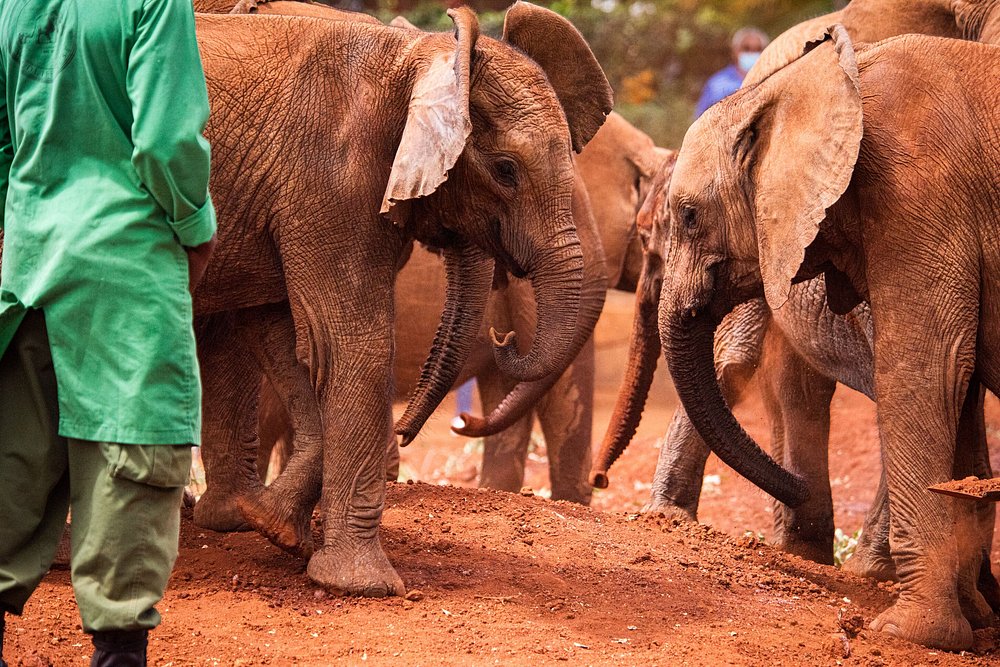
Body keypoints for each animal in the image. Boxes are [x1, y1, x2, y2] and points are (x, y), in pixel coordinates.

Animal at [190, 3, 613, 596]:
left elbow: (293, 339)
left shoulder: (278, 198)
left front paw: (271, 527)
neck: (415, 57)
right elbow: (349, 344)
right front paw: (362, 587)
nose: (504, 337)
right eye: (505, 170)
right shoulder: (331, 180)